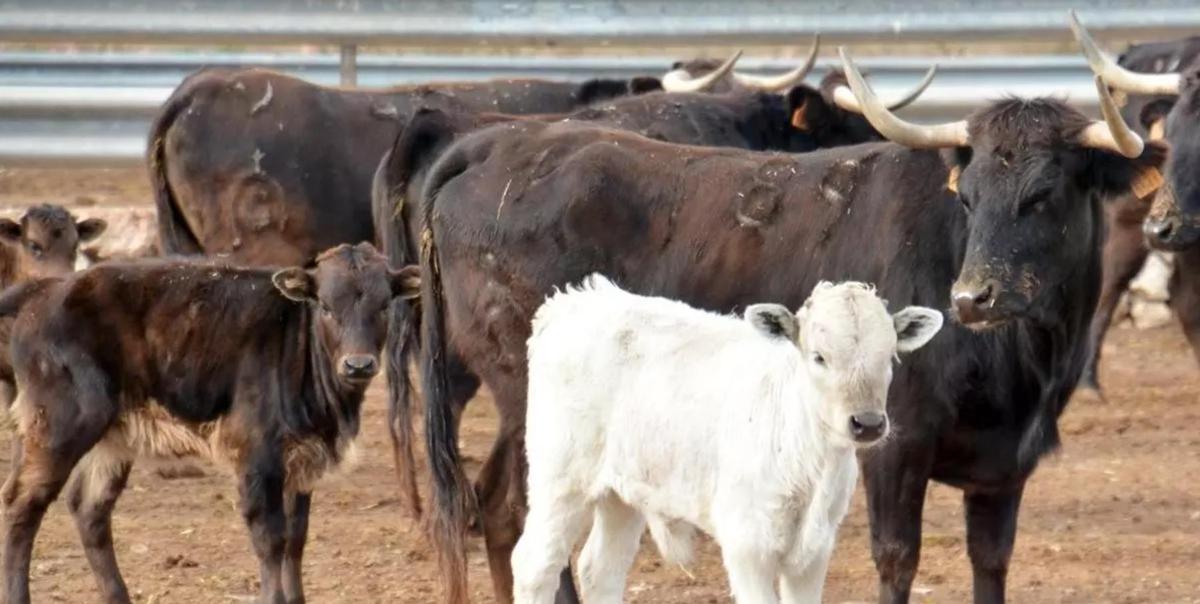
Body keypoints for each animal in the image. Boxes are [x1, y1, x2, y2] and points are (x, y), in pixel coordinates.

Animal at [0, 243, 417, 604]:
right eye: (327, 306)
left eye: (384, 305)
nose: (358, 365)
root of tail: (45, 291)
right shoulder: (257, 458)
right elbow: (271, 539)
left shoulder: (301, 461)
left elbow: (296, 539)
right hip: (59, 427)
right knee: (23, 504)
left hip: (112, 439)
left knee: (89, 508)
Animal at [512, 277, 943, 604]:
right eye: (819, 357)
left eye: (889, 357)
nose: (867, 423)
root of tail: (575, 301)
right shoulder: (747, 544)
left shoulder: (815, 550)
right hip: (560, 481)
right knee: (534, 565)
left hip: (624, 489)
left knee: (600, 568)